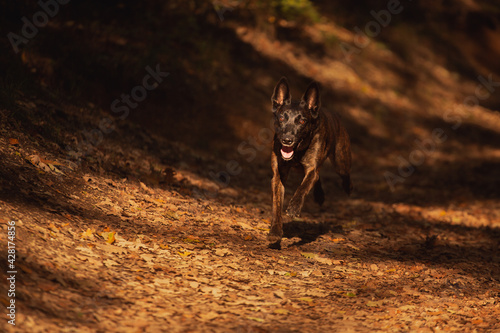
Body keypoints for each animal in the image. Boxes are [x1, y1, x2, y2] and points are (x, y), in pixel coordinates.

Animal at [268, 78, 354, 244]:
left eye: (302, 121)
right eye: (281, 118)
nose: (287, 140)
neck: (297, 152)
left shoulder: (312, 169)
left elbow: (303, 187)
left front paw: (294, 207)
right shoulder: (278, 175)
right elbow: (276, 206)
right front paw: (275, 231)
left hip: (341, 161)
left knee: (344, 174)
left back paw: (348, 188)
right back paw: (319, 195)